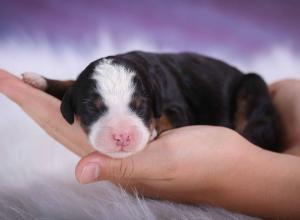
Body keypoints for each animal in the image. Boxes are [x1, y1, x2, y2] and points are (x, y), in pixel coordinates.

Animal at [22, 51, 280, 158]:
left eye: (140, 106)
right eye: (93, 108)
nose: (122, 136)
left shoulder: (178, 106)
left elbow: (167, 116)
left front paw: (154, 129)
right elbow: (69, 84)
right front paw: (38, 80)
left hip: (253, 86)